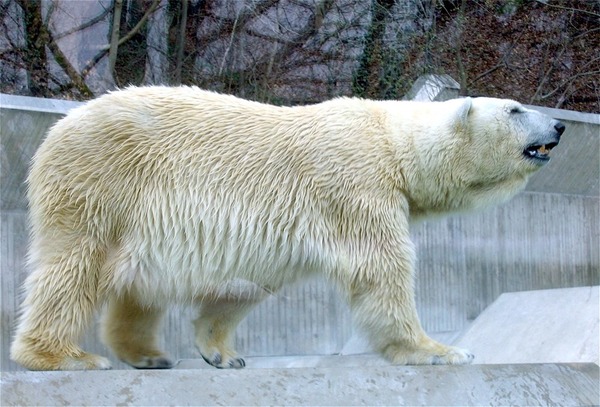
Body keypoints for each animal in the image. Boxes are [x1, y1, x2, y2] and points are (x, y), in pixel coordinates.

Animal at [9, 87, 564, 372]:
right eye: (515, 109)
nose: (558, 126)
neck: (390, 141)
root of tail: (59, 127)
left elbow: (249, 283)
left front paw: (220, 352)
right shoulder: (356, 183)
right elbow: (381, 269)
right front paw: (440, 350)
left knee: (140, 283)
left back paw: (146, 354)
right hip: (101, 183)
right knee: (73, 266)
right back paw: (62, 356)